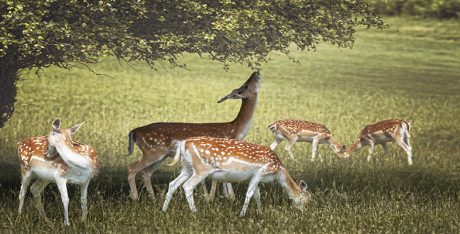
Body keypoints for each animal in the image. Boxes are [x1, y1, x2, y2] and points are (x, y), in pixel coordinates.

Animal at [127, 72, 260, 200]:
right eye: (245, 85)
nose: (256, 72)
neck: (235, 130)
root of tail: (134, 131)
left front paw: (227, 197)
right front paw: (215, 198)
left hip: (160, 155)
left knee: (146, 172)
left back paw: (153, 197)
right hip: (152, 151)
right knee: (132, 168)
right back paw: (135, 197)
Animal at [163, 136, 312, 217]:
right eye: (306, 199)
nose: (304, 212)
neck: (278, 170)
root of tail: (183, 144)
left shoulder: (255, 177)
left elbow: (257, 195)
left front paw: (260, 212)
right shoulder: (260, 172)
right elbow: (250, 194)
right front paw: (242, 215)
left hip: (187, 167)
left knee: (173, 184)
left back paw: (163, 209)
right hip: (201, 169)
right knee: (188, 186)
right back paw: (195, 212)